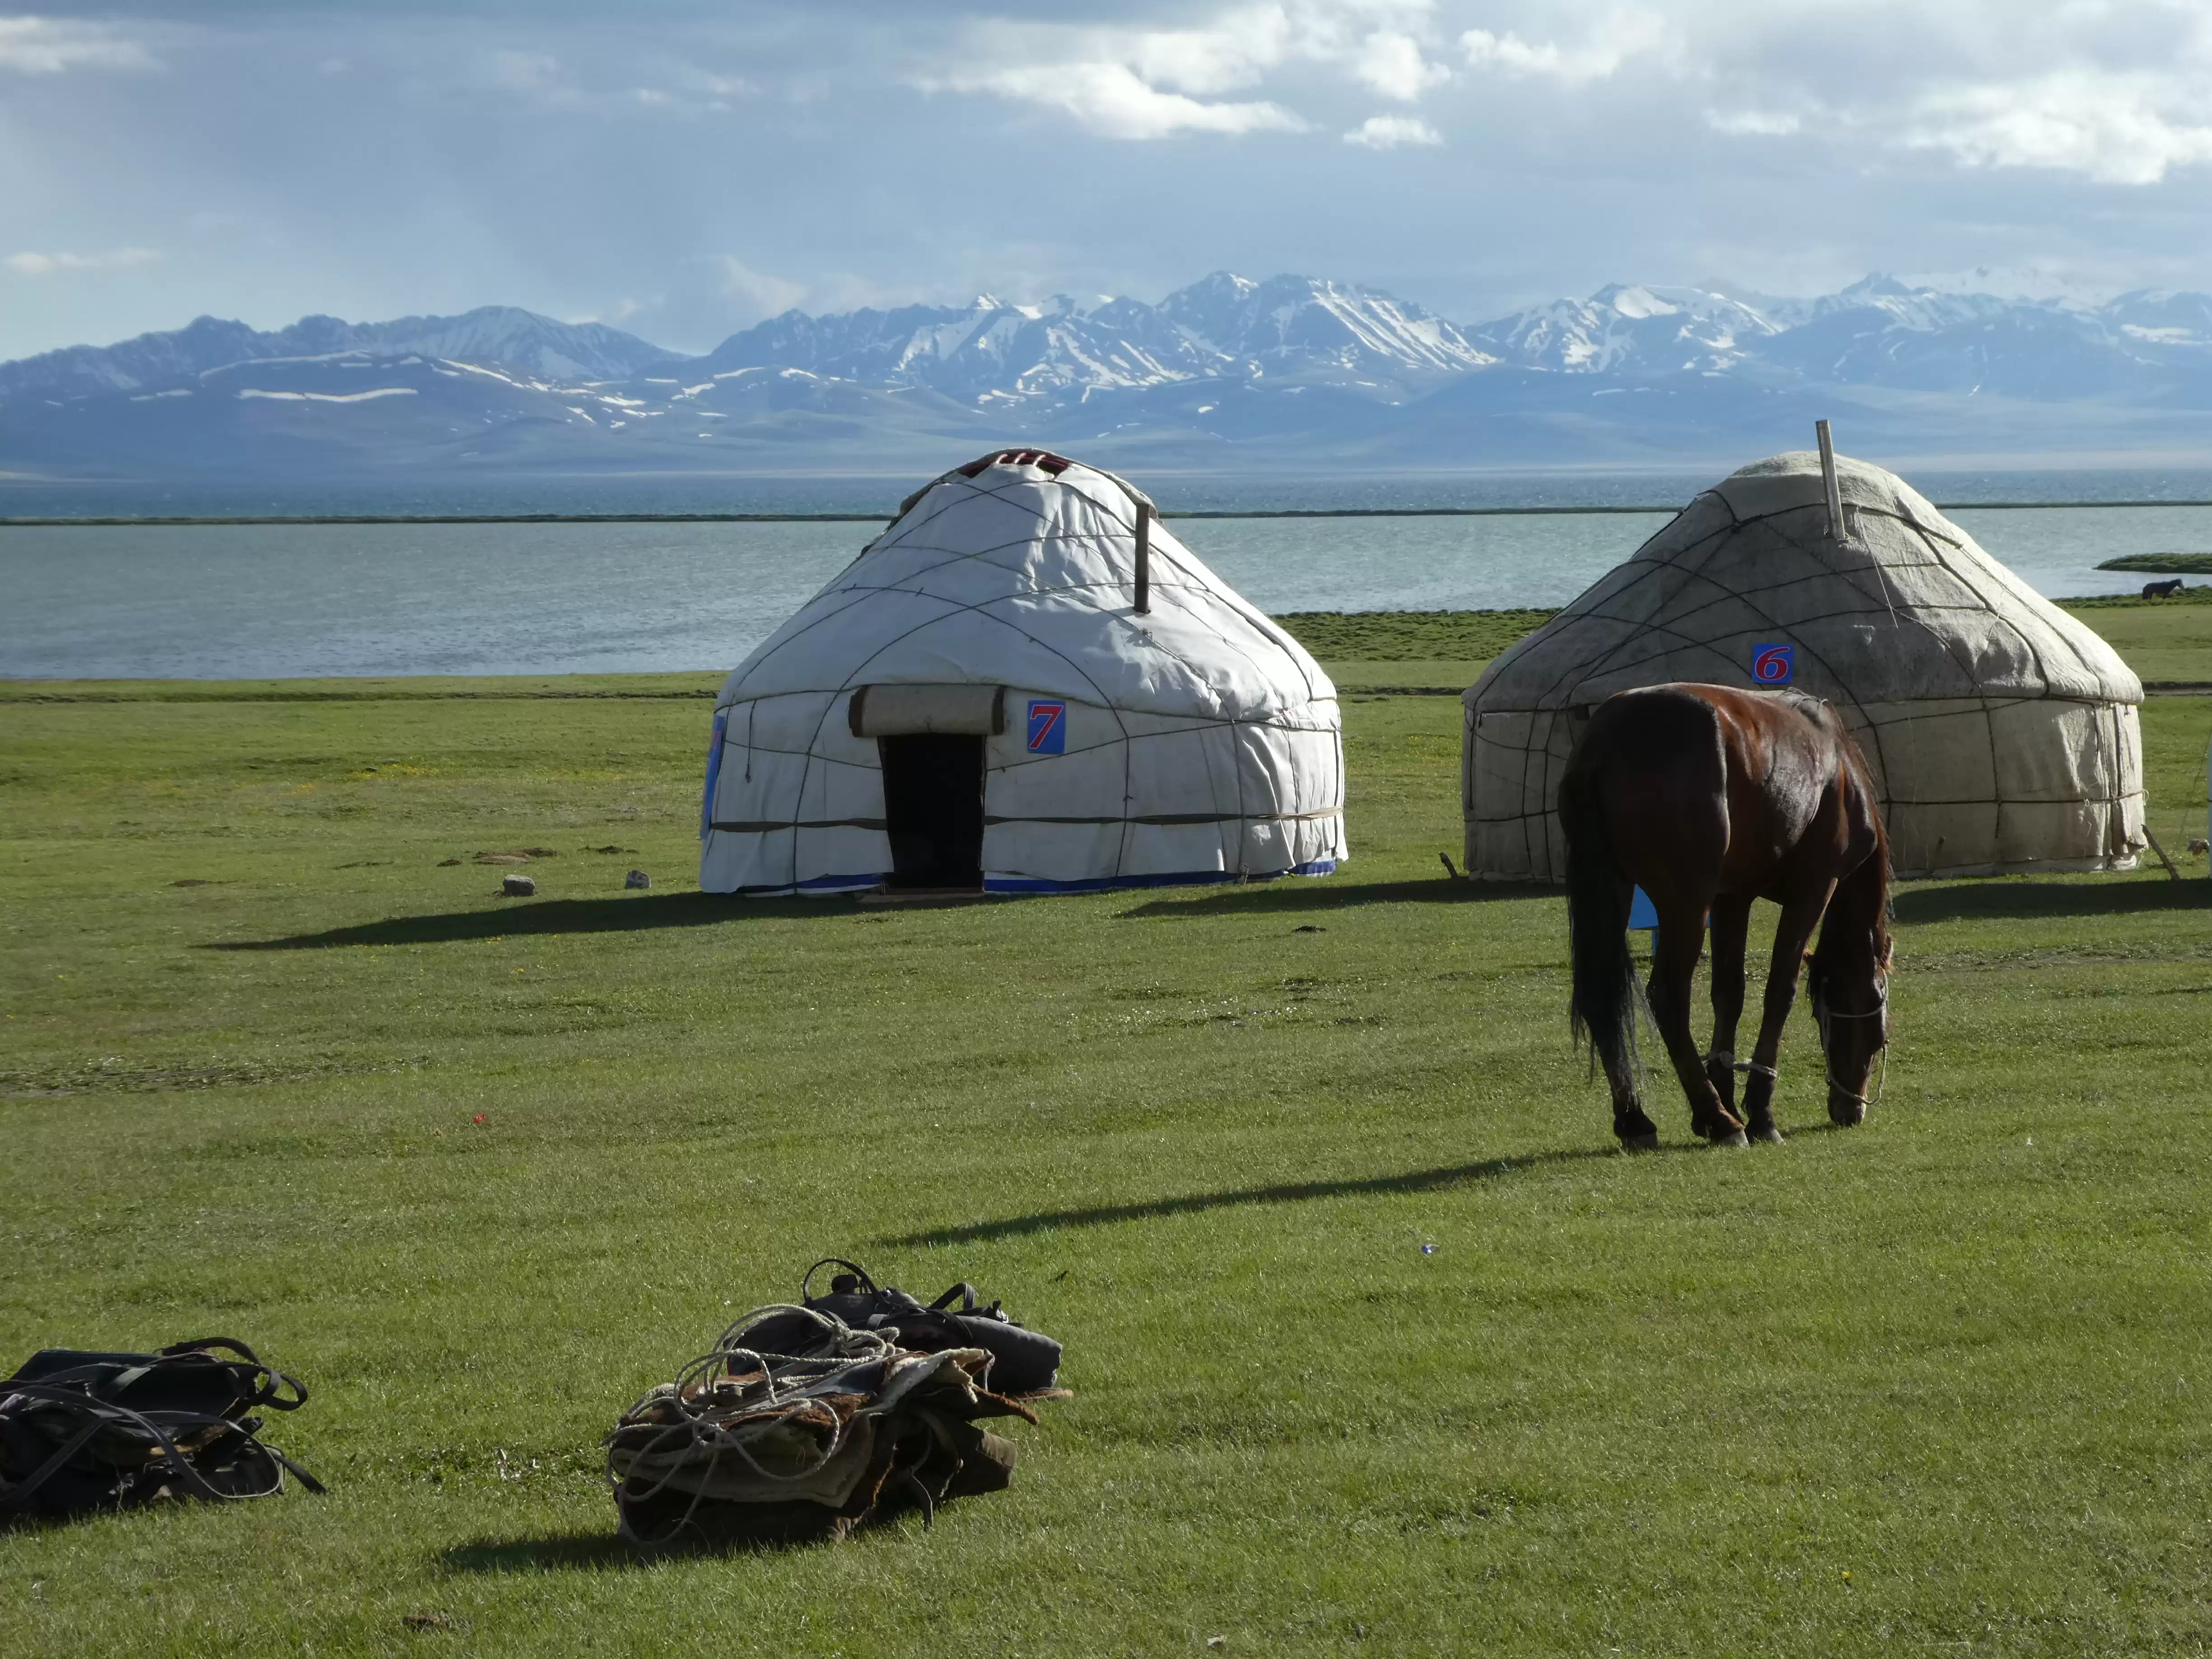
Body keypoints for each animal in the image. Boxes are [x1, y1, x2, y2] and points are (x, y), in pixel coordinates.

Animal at [1556, 683, 1891, 1150]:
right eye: (1878, 1031)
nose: (1852, 1109)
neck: (1837, 768)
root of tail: (1604, 742)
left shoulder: (1733, 897)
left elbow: (1729, 995)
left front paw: (1727, 1088)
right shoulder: (1813, 890)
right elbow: (1779, 992)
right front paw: (1758, 1112)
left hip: (1612, 888)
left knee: (1602, 997)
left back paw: (1637, 1120)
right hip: (1686, 905)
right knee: (1667, 997)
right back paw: (1717, 1118)